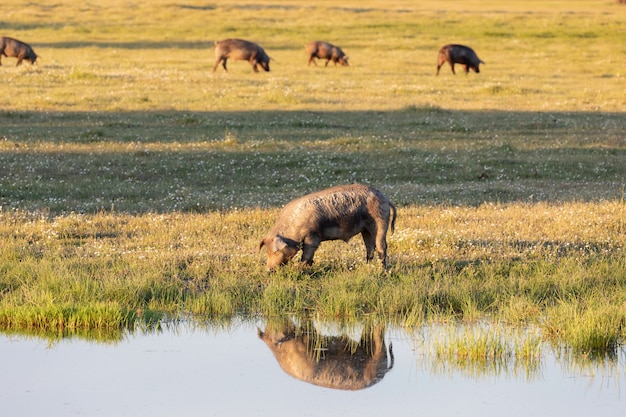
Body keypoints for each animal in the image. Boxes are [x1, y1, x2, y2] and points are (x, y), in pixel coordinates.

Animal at [258, 183, 394, 270]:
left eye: (275, 251)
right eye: (267, 252)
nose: (268, 270)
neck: (292, 230)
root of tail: (386, 199)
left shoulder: (312, 236)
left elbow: (307, 253)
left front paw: (300, 269)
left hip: (381, 222)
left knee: (381, 247)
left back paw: (383, 270)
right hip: (365, 229)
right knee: (370, 247)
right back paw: (368, 266)